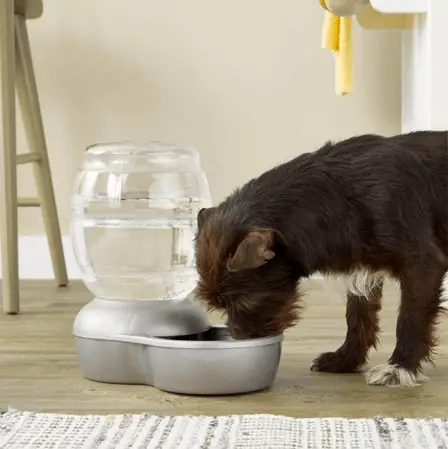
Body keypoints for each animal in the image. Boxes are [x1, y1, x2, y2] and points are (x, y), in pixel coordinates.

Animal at [195, 130, 448, 384]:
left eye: (244, 302)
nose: (240, 339)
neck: (342, 195)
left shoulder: (422, 266)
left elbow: (410, 319)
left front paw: (400, 368)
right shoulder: (362, 266)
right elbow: (358, 318)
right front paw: (345, 360)